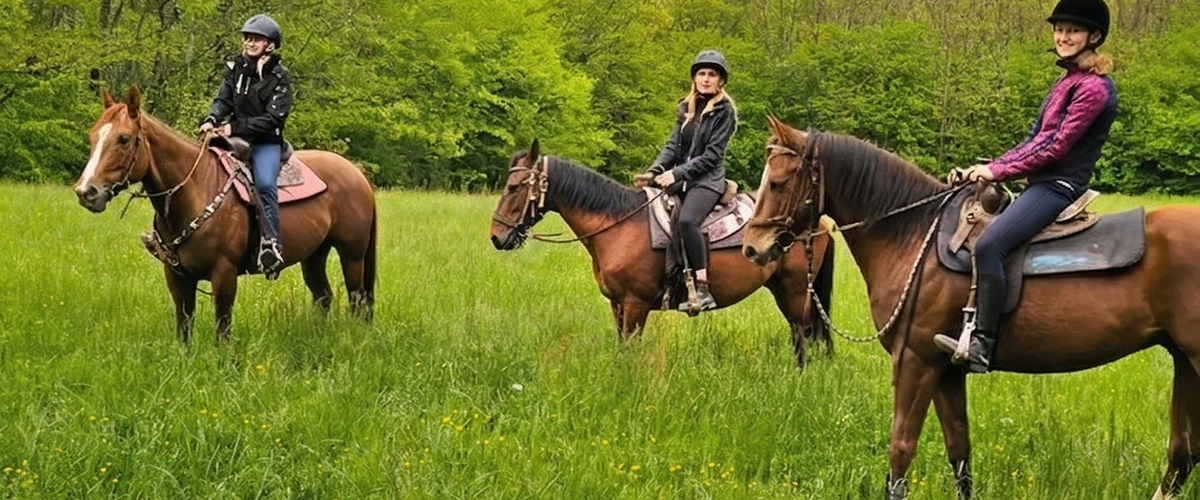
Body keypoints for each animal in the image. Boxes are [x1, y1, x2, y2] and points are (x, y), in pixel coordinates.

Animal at [72, 87, 377, 343]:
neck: (196, 191)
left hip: (352, 254)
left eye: (124, 139)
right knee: (324, 296)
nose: (86, 192)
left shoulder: (224, 274)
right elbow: (185, 326)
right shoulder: (177, 276)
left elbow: (222, 329)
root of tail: (357, 173)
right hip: (314, 255)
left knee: (357, 300)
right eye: (93, 136)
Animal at [489, 139, 836, 366]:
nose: (496, 236)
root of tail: (818, 219)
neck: (619, 225)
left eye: (515, 187)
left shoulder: (635, 305)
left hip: (794, 290)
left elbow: (630, 350)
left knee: (803, 333)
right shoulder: (617, 305)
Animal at [741, 116, 1200, 499]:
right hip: (1183, 361)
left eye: (778, 183)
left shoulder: (915, 361)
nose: (752, 248)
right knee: (1182, 455)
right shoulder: (946, 371)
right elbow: (959, 453)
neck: (912, 234)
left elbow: (901, 450)